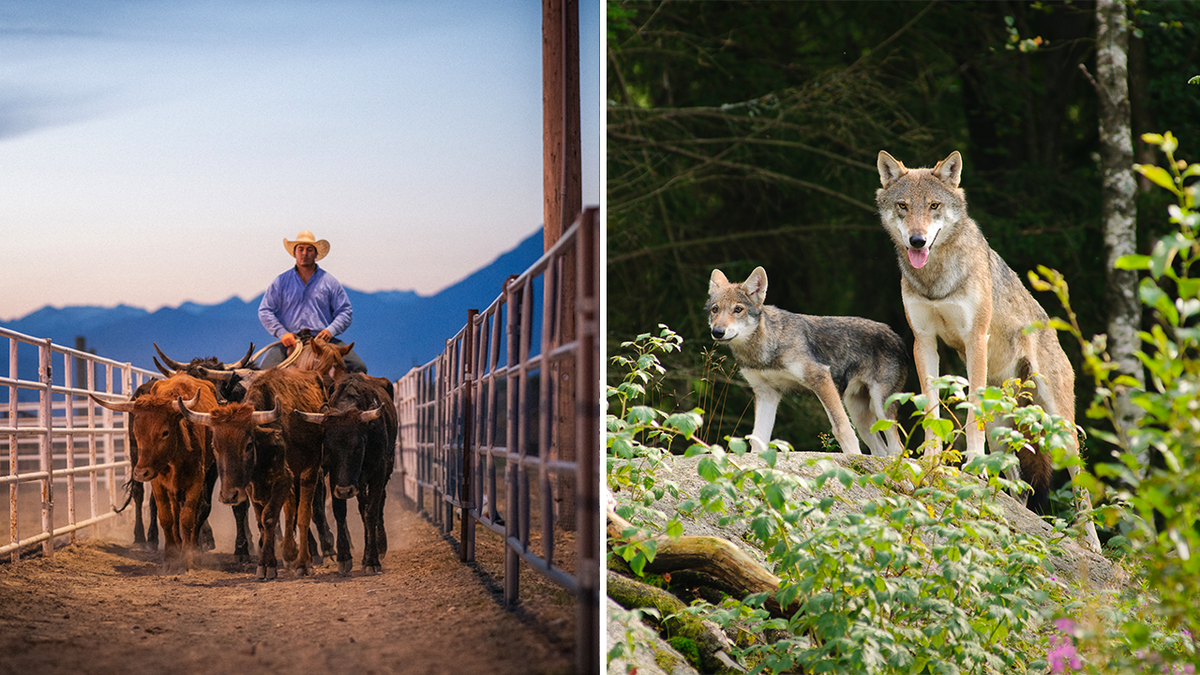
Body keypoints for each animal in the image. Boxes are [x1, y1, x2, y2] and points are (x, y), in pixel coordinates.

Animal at [91, 369, 220, 569]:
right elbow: (166, 517)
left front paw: (188, 557)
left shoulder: (197, 479)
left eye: (165, 432)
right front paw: (171, 557)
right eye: (136, 431)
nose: (140, 472)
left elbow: (188, 518)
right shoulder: (158, 481)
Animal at [177, 365, 328, 576]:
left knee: (304, 514)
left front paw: (267, 565)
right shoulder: (251, 486)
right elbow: (261, 521)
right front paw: (268, 561)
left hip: (310, 471)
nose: (228, 496)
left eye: (248, 445)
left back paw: (302, 563)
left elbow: (270, 517)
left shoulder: (283, 479)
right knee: (291, 509)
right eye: (215, 446)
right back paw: (289, 553)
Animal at [705, 265, 902, 454]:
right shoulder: (766, 392)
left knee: (896, 447)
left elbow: (842, 429)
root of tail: (895, 335)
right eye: (715, 310)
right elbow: (758, 438)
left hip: (881, 408)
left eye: (738, 309)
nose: (717, 332)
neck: (764, 350)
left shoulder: (820, 377)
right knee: (880, 450)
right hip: (859, 414)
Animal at [878, 149, 1099, 550]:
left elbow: (970, 411)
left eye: (933, 205)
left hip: (1059, 426)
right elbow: (931, 408)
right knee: (1020, 487)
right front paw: (932, 458)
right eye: (903, 206)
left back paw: (1089, 542)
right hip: (1004, 430)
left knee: (1080, 485)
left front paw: (971, 464)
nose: (917, 241)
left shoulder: (974, 338)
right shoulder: (924, 341)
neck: (936, 278)